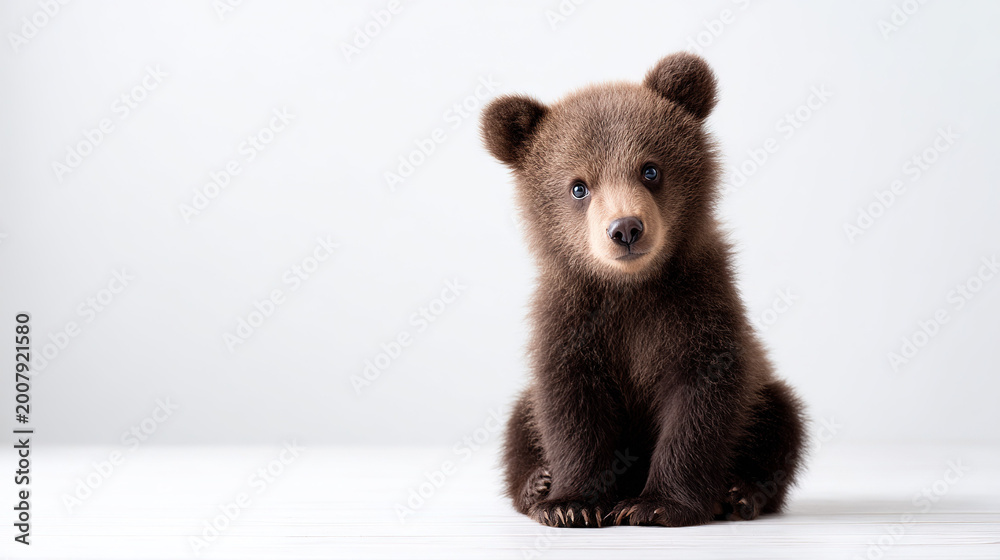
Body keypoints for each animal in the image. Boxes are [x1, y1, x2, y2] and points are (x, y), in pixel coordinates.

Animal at [479, 53, 806, 528]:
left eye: (650, 169)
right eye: (579, 186)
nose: (625, 229)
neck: (631, 289)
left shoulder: (696, 307)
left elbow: (699, 405)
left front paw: (655, 504)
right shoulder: (572, 320)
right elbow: (570, 408)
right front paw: (570, 503)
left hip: (763, 391)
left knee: (781, 418)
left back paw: (739, 492)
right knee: (520, 421)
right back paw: (537, 481)